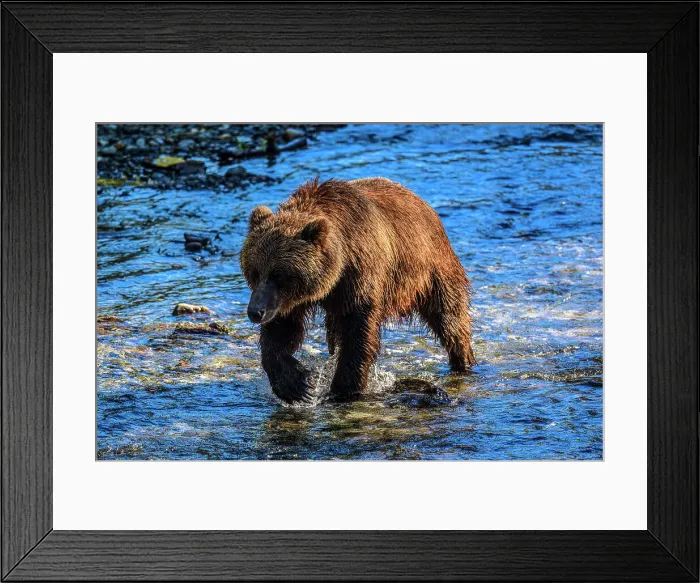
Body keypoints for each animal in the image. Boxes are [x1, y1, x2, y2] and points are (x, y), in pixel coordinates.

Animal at [240, 177, 476, 404]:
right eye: (254, 272)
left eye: (278, 274)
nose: (255, 311)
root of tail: (425, 206)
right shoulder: (291, 300)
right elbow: (282, 331)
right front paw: (296, 385)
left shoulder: (359, 278)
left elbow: (358, 332)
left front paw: (343, 388)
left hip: (432, 271)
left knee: (449, 318)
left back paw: (463, 362)